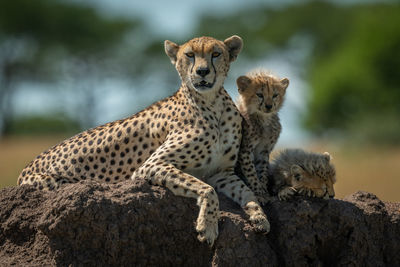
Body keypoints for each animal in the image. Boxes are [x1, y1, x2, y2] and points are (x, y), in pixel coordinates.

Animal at [18, 35, 268, 247]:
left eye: (216, 53)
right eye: (189, 55)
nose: (203, 71)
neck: (212, 103)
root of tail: (26, 167)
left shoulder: (221, 172)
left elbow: (247, 193)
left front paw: (259, 217)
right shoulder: (151, 165)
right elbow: (207, 190)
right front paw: (207, 227)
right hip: (55, 185)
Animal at [236, 70, 290, 202]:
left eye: (275, 95)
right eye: (259, 94)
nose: (269, 106)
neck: (264, 119)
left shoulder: (264, 151)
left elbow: (263, 172)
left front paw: (264, 191)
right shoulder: (245, 150)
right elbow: (251, 172)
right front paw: (259, 193)